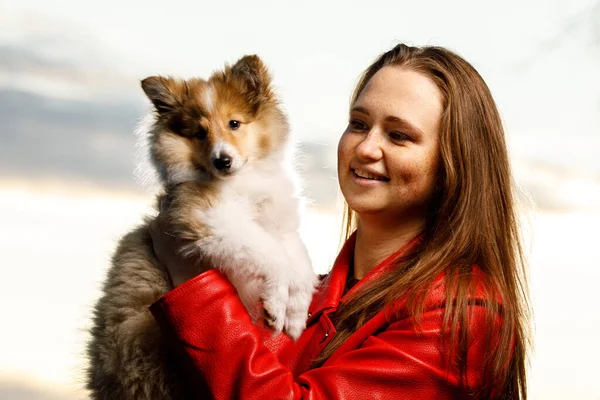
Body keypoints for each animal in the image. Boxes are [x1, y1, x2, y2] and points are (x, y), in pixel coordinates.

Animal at [88, 55, 318, 400]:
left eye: (234, 123)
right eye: (199, 133)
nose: (222, 160)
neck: (241, 181)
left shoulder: (280, 227)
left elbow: (300, 267)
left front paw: (294, 316)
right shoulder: (207, 219)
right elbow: (272, 257)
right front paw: (276, 306)